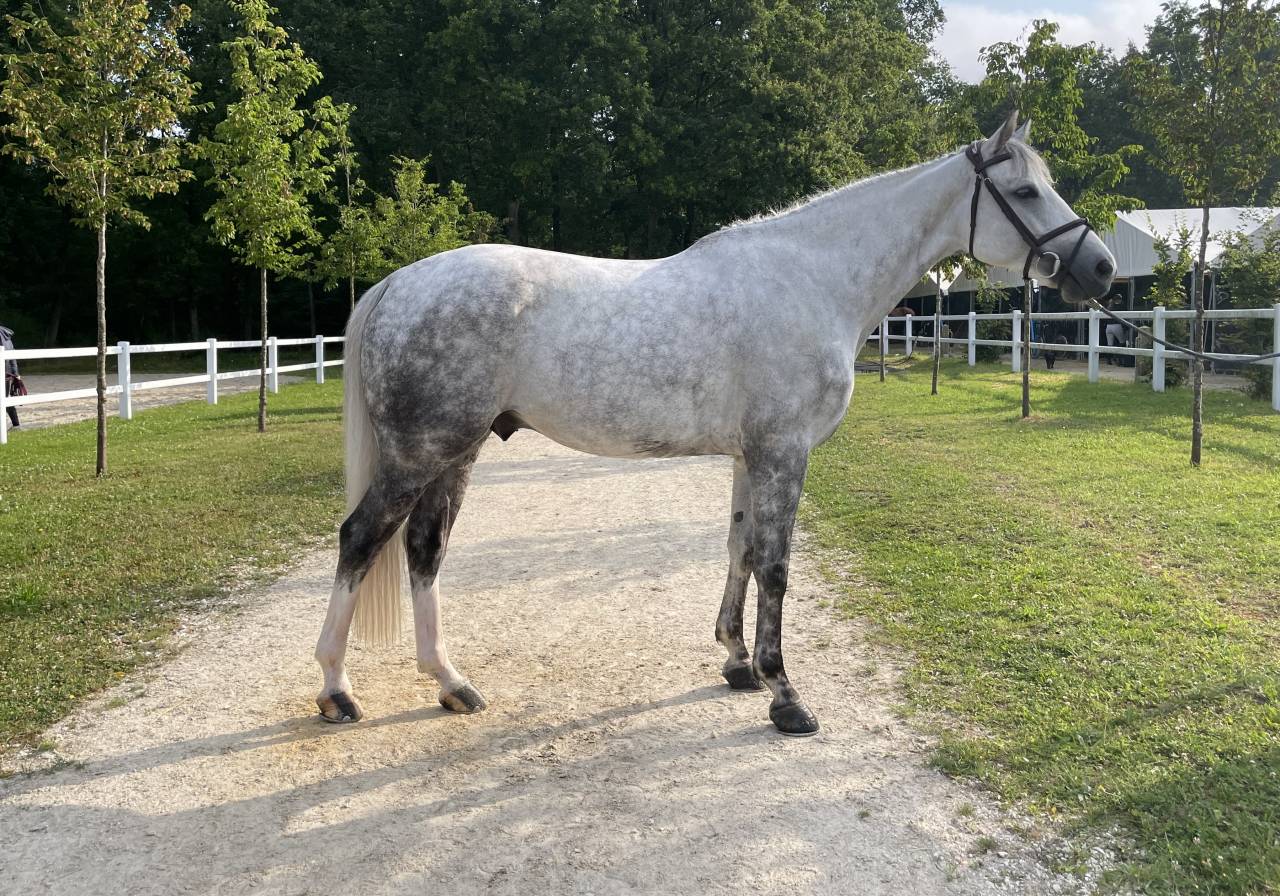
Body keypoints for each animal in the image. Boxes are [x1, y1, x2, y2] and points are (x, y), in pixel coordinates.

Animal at [314, 112, 1117, 736]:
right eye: (1024, 191)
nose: (1101, 269)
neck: (810, 280)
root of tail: (397, 283)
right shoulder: (785, 452)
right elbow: (777, 565)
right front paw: (785, 695)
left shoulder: (748, 455)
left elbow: (740, 548)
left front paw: (737, 664)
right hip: (422, 451)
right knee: (362, 540)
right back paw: (336, 690)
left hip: (457, 452)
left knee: (424, 549)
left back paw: (451, 683)